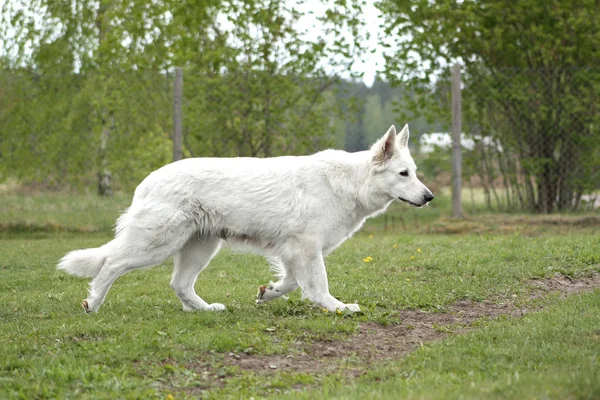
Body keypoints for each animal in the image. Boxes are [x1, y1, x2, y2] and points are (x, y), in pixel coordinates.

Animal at [57, 124, 432, 312]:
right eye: (403, 174)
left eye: (414, 172)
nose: (429, 197)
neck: (351, 182)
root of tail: (148, 181)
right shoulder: (307, 248)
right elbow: (317, 285)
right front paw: (336, 307)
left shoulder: (295, 250)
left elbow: (292, 282)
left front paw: (269, 293)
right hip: (156, 245)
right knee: (111, 264)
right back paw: (93, 302)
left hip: (201, 248)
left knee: (179, 284)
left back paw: (204, 309)